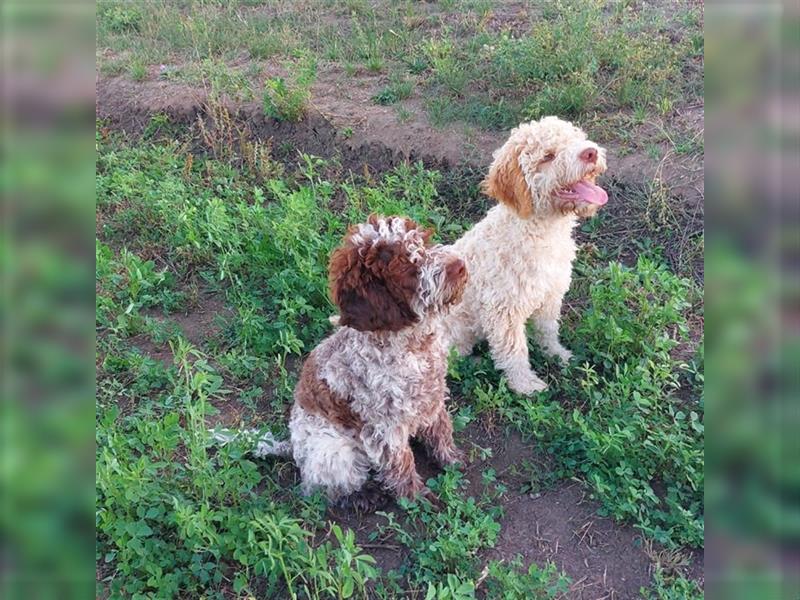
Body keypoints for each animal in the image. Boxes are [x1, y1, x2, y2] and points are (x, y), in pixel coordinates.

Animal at [444, 117, 608, 396]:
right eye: (548, 156)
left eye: (577, 138)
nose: (590, 152)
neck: (541, 232)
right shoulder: (503, 309)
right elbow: (514, 350)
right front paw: (525, 385)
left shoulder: (551, 294)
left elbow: (548, 329)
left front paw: (558, 354)